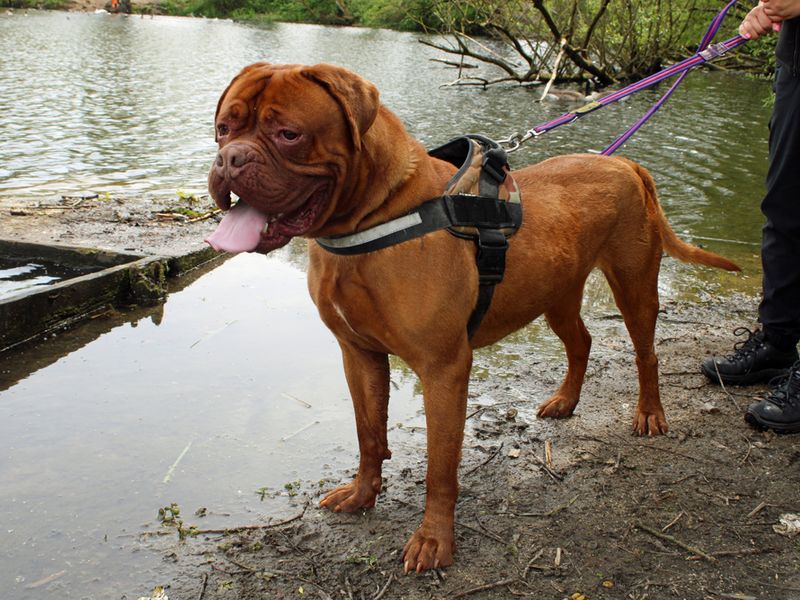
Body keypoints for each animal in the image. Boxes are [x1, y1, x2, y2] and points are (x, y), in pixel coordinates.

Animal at [205, 63, 736, 576]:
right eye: (223, 128)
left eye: (288, 134)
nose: (230, 159)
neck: (371, 220)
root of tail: (624, 162)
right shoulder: (359, 355)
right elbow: (368, 434)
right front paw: (362, 495)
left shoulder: (443, 368)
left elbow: (440, 467)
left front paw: (434, 541)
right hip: (556, 293)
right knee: (581, 341)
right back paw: (565, 401)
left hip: (634, 286)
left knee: (646, 353)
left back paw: (650, 414)